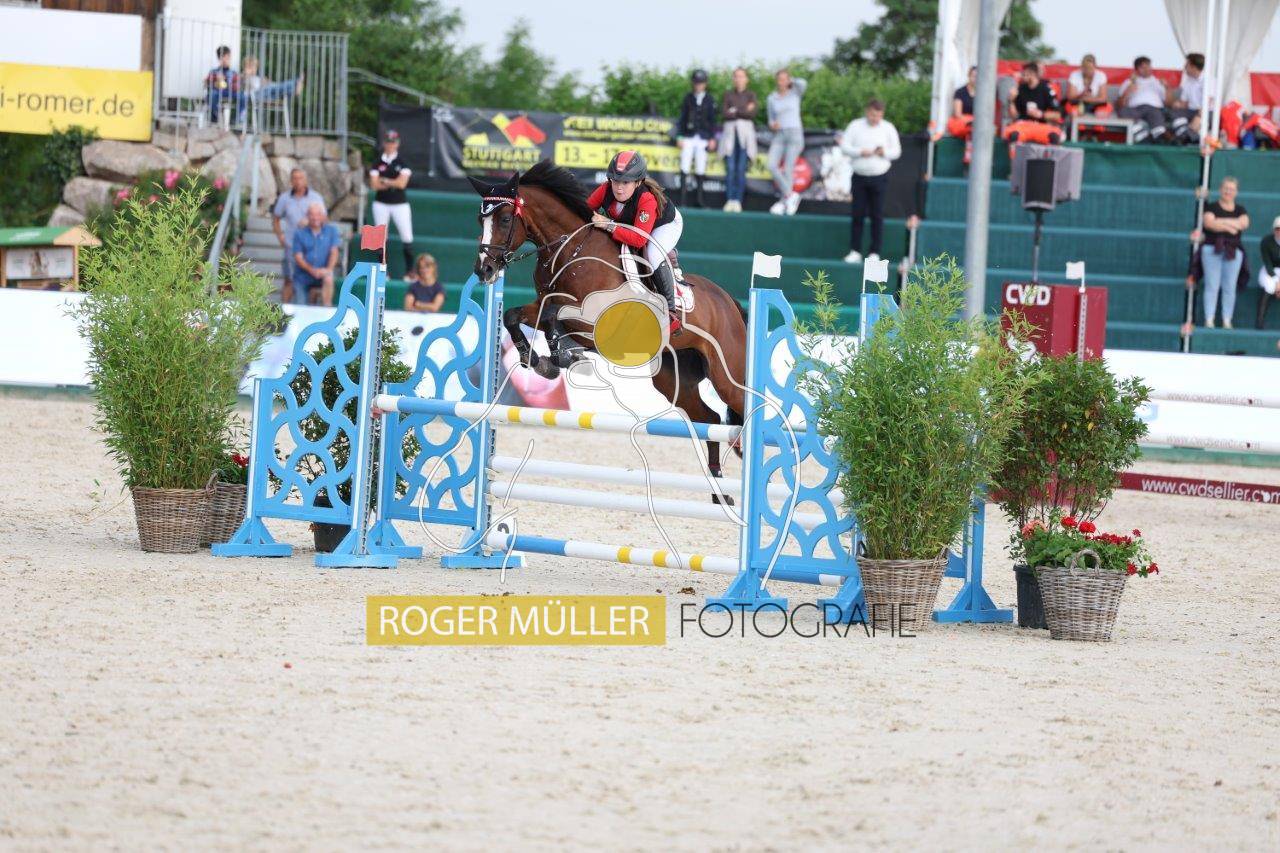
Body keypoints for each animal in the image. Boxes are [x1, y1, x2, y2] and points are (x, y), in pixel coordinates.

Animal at [466, 160, 748, 491]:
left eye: (506, 218)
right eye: (480, 219)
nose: (484, 270)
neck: (571, 251)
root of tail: (728, 301)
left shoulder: (594, 323)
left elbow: (553, 316)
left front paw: (561, 356)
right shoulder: (543, 304)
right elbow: (516, 315)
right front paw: (538, 360)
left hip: (727, 375)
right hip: (674, 378)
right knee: (711, 419)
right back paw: (719, 489)